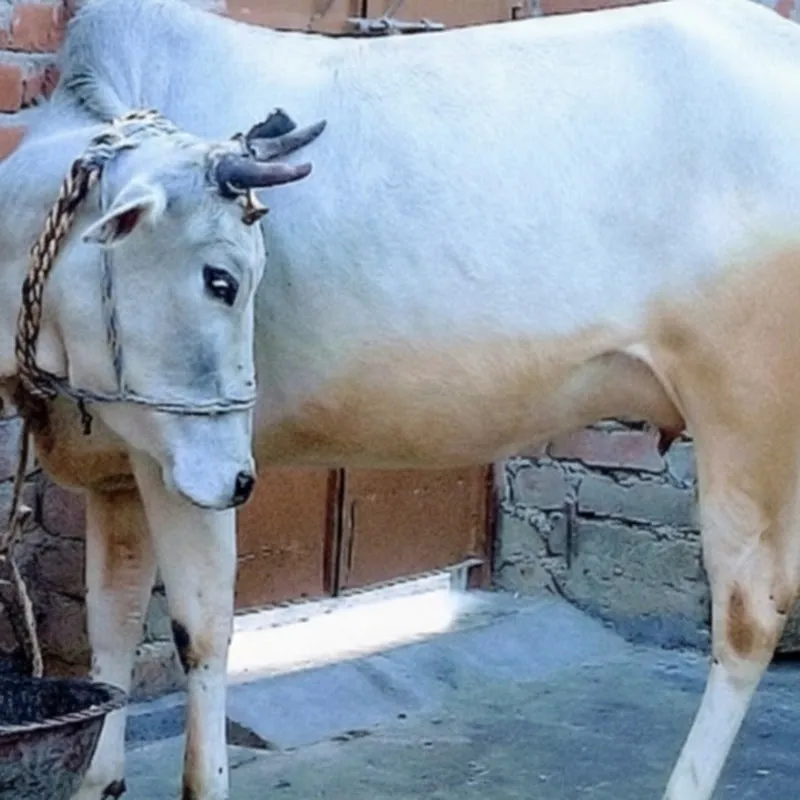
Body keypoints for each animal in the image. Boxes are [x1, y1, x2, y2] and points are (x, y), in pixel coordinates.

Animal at [7, 0, 800, 797]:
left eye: (225, 280)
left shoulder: (192, 459)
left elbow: (199, 630)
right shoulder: (117, 465)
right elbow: (109, 624)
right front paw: (99, 778)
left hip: (745, 412)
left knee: (750, 614)